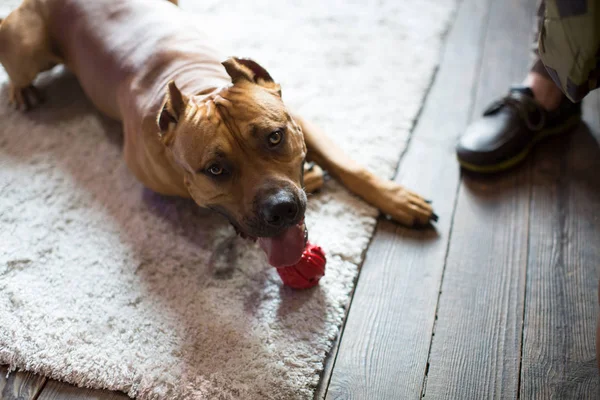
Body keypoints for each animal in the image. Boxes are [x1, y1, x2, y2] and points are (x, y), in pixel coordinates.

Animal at [0, 0, 438, 268]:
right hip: (25, 47)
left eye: (275, 138)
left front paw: (398, 199)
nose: (282, 209)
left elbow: (349, 165)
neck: (201, 85)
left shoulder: (300, 118)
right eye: (215, 170)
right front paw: (314, 177)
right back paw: (23, 92)